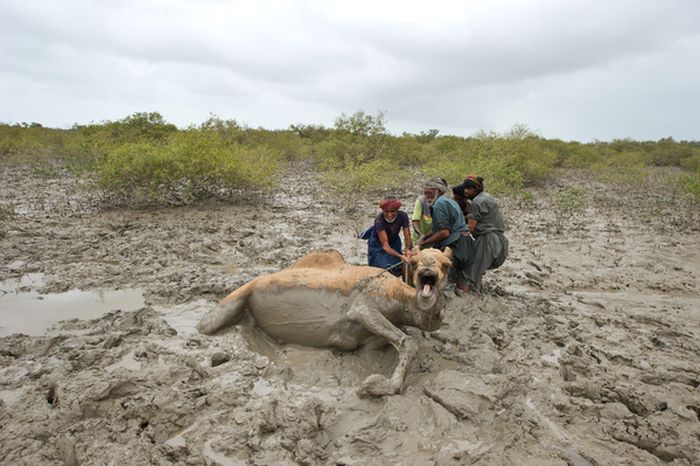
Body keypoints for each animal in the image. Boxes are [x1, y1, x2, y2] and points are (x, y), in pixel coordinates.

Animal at [197, 246, 454, 396]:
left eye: (446, 265)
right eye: (414, 262)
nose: (427, 270)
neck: (402, 300)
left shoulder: (369, 342)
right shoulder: (363, 305)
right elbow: (409, 342)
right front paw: (380, 387)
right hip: (236, 297)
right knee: (205, 326)